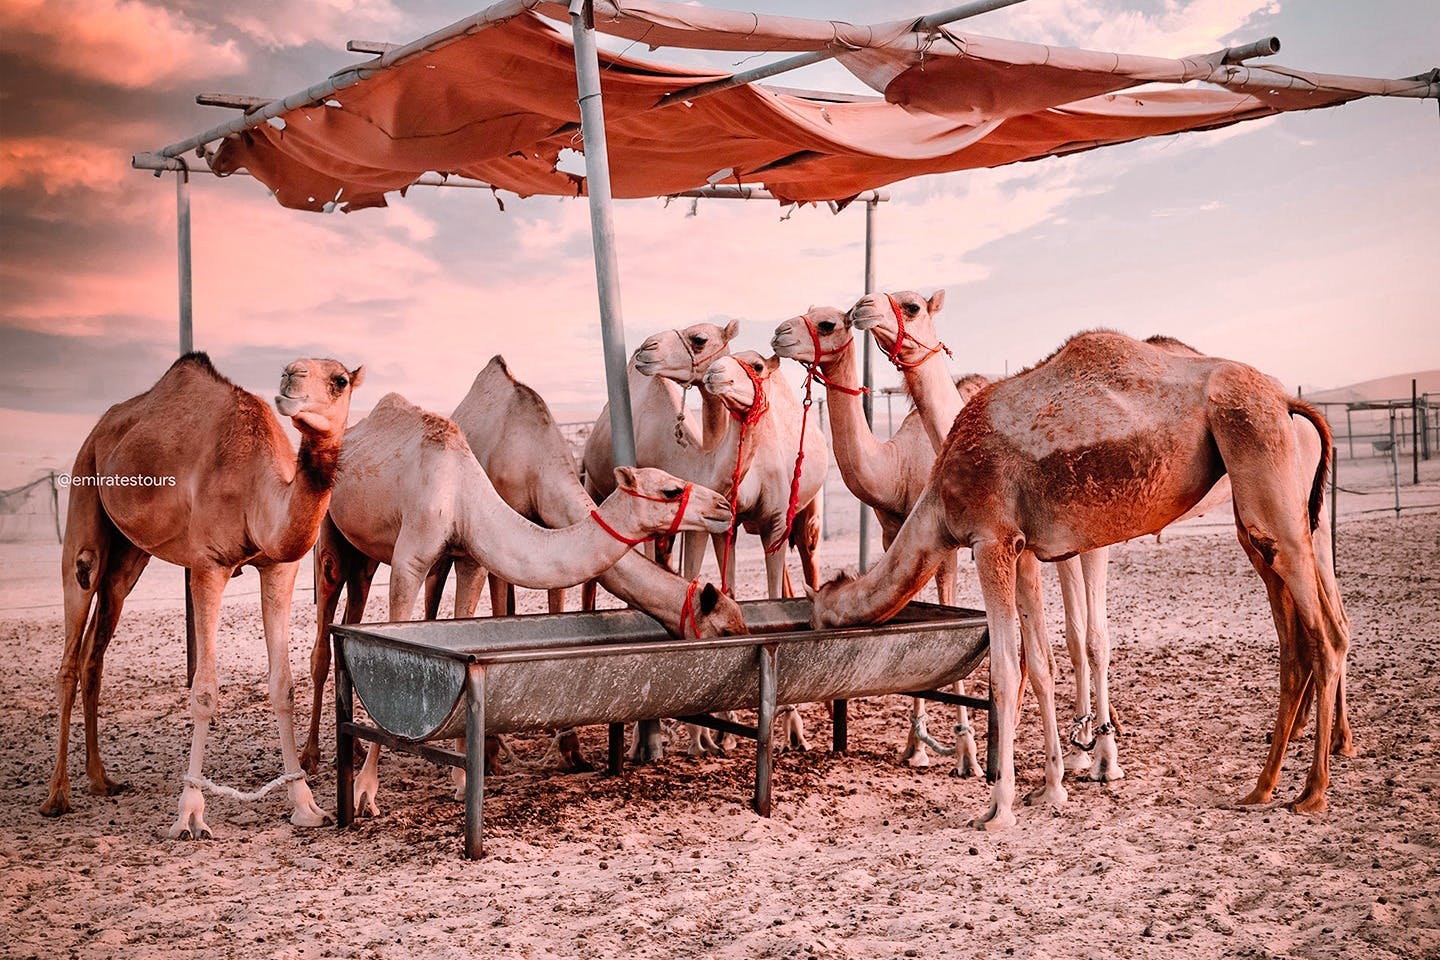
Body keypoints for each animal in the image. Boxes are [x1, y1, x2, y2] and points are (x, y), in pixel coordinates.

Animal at [42, 353, 362, 839]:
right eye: (290, 371)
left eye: (339, 380)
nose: (290, 377)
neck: (256, 492)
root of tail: (100, 430)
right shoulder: (207, 565)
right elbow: (205, 691)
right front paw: (190, 813)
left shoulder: (278, 567)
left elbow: (283, 686)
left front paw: (305, 803)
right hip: (84, 493)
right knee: (71, 639)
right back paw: (57, 795)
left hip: (129, 556)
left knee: (93, 653)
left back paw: (101, 780)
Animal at [312, 392, 733, 814]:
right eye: (670, 490)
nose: (723, 506)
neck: (461, 495)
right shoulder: (409, 560)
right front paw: (365, 791)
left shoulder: (470, 559)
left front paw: (462, 781)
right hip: (328, 527)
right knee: (325, 630)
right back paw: (314, 758)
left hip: (364, 554)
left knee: (355, 602)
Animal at [770, 306, 982, 773]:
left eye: (827, 323)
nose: (779, 333)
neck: (897, 468)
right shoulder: (891, 533)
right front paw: (916, 746)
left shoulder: (946, 546)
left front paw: (966, 753)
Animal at [811, 329, 1350, 829]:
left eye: (816, 612)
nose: (813, 625)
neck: (937, 494)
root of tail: (1286, 398)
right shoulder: (1025, 547)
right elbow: (1040, 661)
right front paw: (1050, 787)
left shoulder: (992, 539)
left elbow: (1005, 671)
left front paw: (998, 809)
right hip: (1256, 503)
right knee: (1300, 636)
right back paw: (1263, 787)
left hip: (1262, 457)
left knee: (1326, 634)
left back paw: (1313, 793)